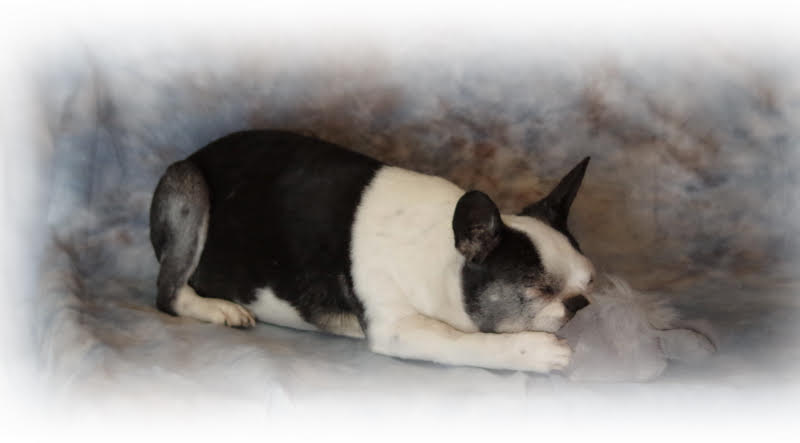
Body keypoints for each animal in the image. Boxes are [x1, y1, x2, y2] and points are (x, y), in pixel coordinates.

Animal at [150, 130, 595, 373]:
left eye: (589, 282)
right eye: (537, 291)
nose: (580, 304)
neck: (442, 255)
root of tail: (193, 155)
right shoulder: (400, 329)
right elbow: (460, 342)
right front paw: (533, 351)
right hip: (189, 186)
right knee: (168, 294)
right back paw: (216, 308)